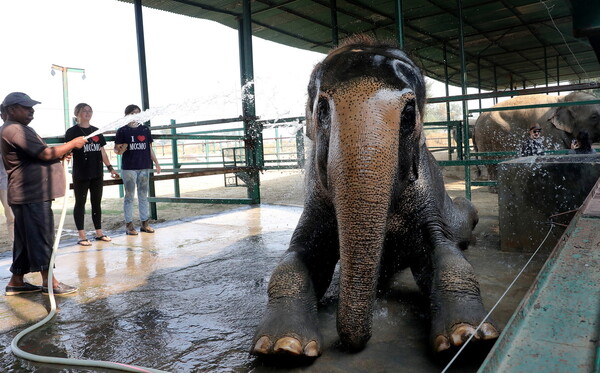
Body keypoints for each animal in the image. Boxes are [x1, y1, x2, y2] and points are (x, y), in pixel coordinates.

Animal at [248, 35, 496, 360]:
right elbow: (297, 259)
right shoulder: (315, 199)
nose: (354, 342)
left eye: (408, 114)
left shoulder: (426, 194)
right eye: (322, 110)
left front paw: (468, 338)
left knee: (464, 219)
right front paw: (281, 346)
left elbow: (443, 254)